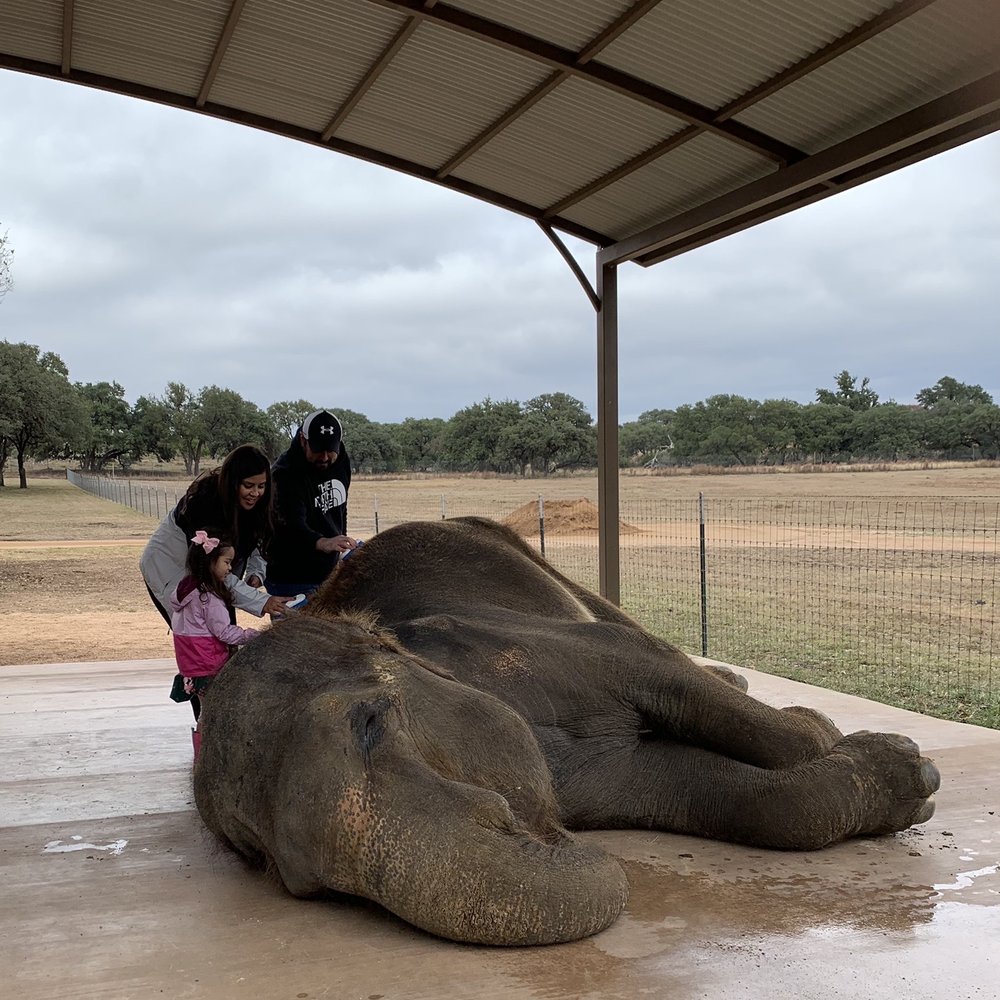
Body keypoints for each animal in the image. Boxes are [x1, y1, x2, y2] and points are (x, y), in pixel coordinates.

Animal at [193, 517, 940, 946]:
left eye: (372, 722)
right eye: (278, 869)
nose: (528, 828)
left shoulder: (520, 644)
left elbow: (655, 669)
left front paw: (887, 755)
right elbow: (704, 787)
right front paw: (902, 776)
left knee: (623, 622)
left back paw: (743, 682)